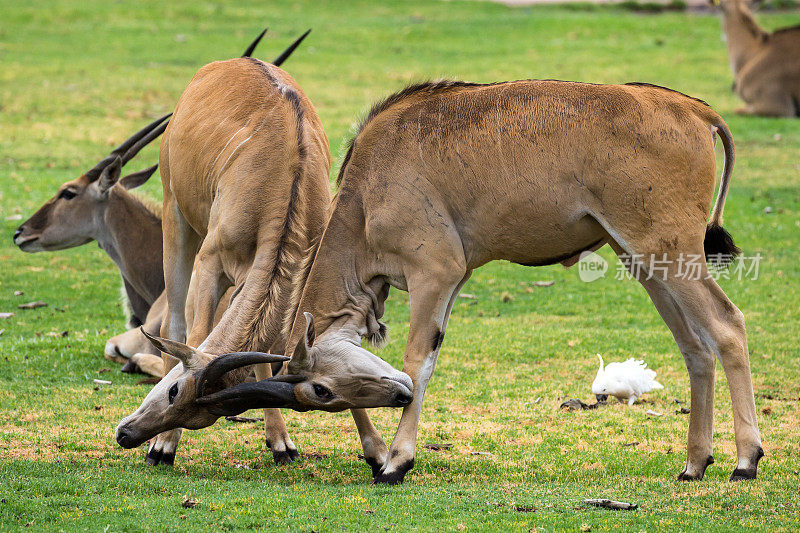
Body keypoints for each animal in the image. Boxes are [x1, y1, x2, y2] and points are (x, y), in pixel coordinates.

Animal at [116, 50, 416, 466]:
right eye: (174, 391)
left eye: (200, 413)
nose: (127, 435)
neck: (281, 180)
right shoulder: (210, 263)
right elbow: (197, 335)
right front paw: (164, 445)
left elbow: (273, 348)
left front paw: (368, 449)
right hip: (175, 212)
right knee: (173, 325)